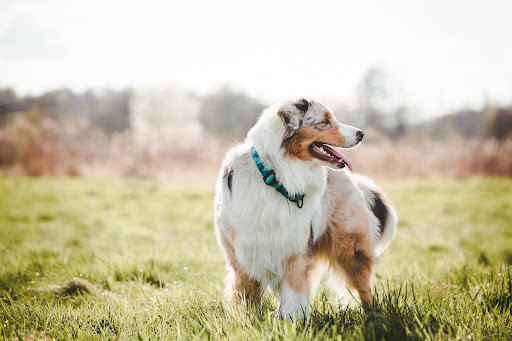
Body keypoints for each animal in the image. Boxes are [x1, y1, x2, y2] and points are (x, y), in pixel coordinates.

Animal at [214, 96, 398, 318]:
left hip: (352, 251)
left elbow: (294, 294)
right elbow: (247, 296)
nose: (362, 133)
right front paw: (249, 320)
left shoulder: (295, 251)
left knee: (365, 290)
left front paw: (292, 320)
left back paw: (373, 317)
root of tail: (355, 181)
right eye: (325, 121)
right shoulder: (243, 255)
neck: (275, 175)